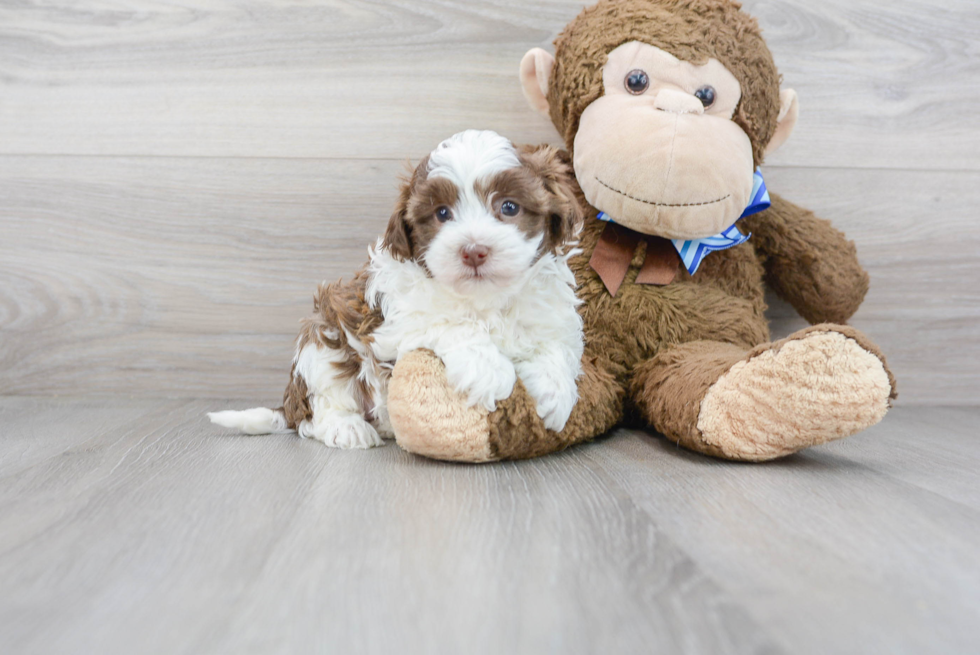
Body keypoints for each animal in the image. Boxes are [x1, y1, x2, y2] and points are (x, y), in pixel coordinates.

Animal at [208, 133, 584, 452]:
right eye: (442, 213)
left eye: (509, 207)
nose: (474, 251)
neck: (484, 299)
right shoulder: (391, 323)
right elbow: (452, 324)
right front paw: (488, 371)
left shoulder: (550, 311)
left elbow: (555, 343)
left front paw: (555, 393)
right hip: (321, 338)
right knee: (318, 408)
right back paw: (347, 427)